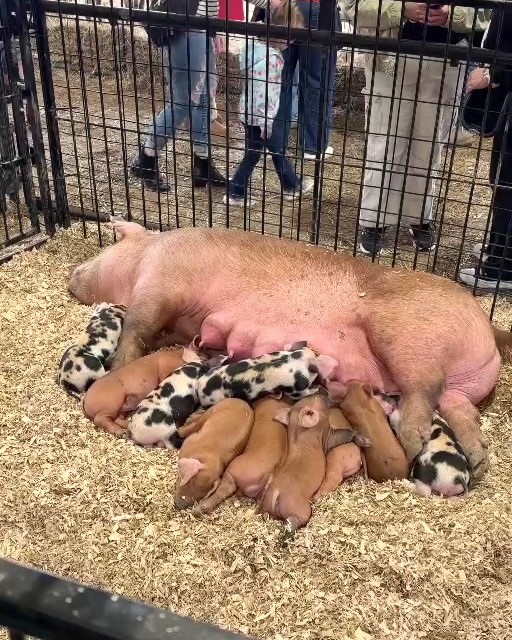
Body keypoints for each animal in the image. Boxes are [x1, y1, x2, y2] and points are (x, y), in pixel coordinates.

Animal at [196, 345, 338, 408]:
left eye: (316, 351)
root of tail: (200, 385)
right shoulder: (295, 390)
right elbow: (303, 393)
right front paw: (317, 388)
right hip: (215, 399)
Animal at [258, 394, 372, 533]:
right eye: (317, 398)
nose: (324, 393)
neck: (297, 426)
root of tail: (276, 493)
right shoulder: (327, 435)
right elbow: (345, 433)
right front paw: (368, 442)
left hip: (267, 506)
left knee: (266, 515)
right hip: (296, 506)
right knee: (298, 517)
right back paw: (289, 529)